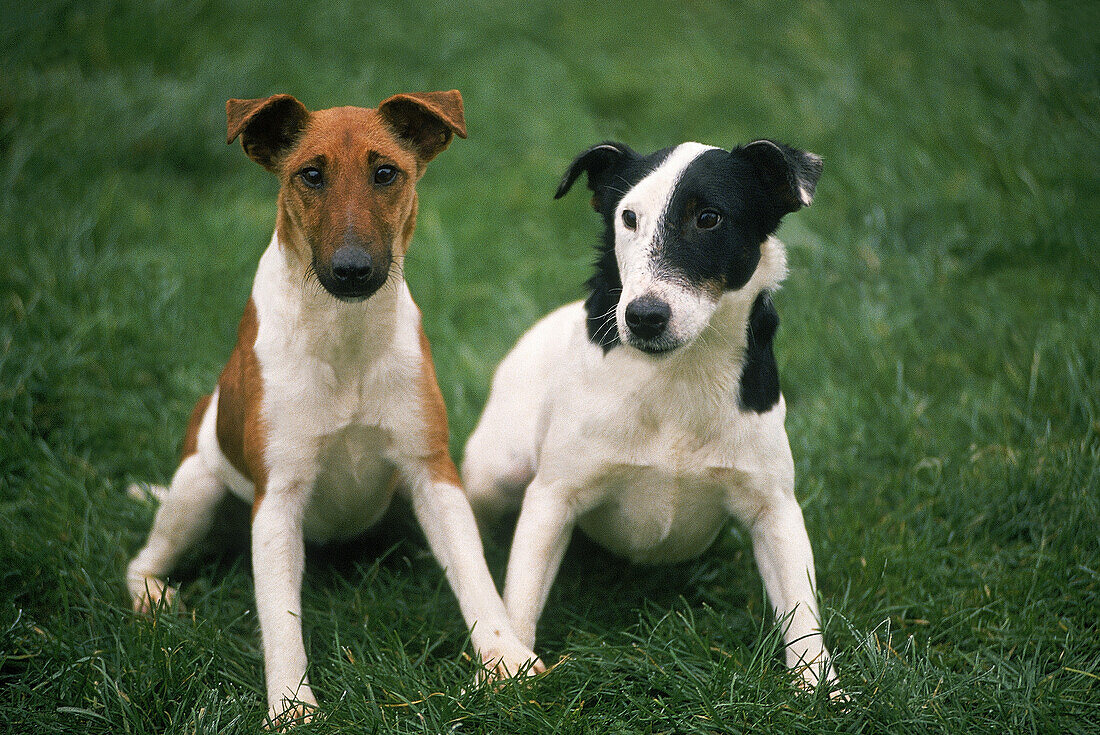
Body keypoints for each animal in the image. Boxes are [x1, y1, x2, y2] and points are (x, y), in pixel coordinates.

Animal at [128, 89, 541, 726]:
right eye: (310, 175)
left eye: (386, 173)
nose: (352, 269)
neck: (344, 337)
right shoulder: (278, 498)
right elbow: (280, 621)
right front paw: (292, 708)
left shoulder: (433, 473)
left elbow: (475, 577)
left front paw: (506, 662)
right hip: (195, 492)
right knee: (143, 561)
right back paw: (155, 597)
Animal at [459, 137, 836, 690]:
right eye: (628, 217)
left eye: (708, 218)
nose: (642, 317)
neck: (677, 373)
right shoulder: (552, 497)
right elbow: (520, 598)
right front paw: (508, 673)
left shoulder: (774, 508)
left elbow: (802, 611)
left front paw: (821, 688)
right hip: (497, 470)